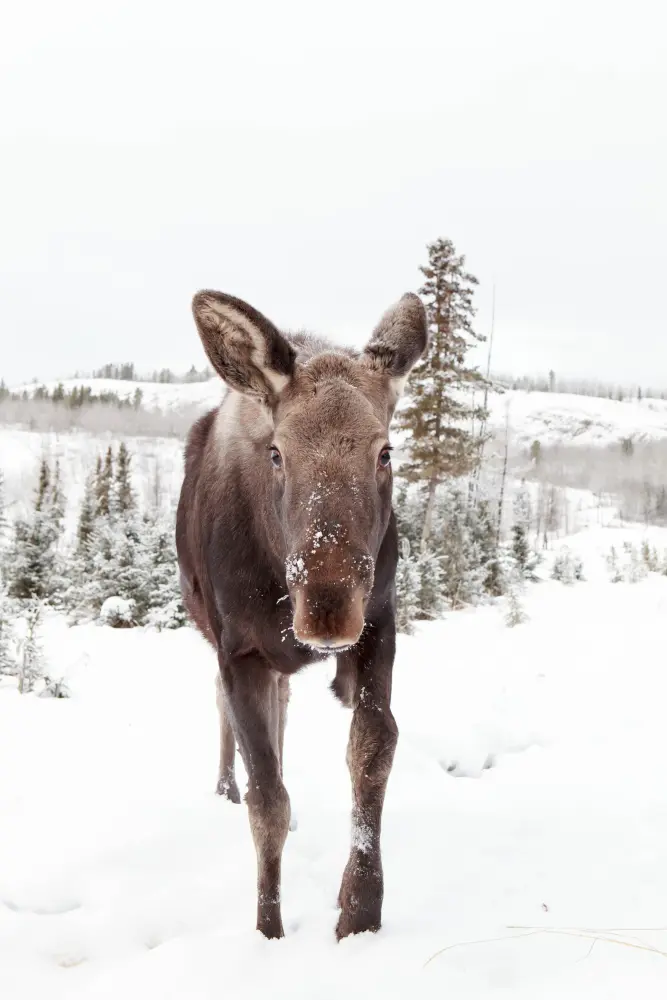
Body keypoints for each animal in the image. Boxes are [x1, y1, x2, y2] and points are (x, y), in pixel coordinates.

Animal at [177, 290, 428, 936]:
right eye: (277, 452)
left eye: (385, 451)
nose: (328, 611)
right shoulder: (239, 650)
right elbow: (265, 799)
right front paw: (269, 929)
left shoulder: (379, 625)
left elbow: (373, 750)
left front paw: (360, 910)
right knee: (234, 723)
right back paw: (225, 785)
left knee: (284, 712)